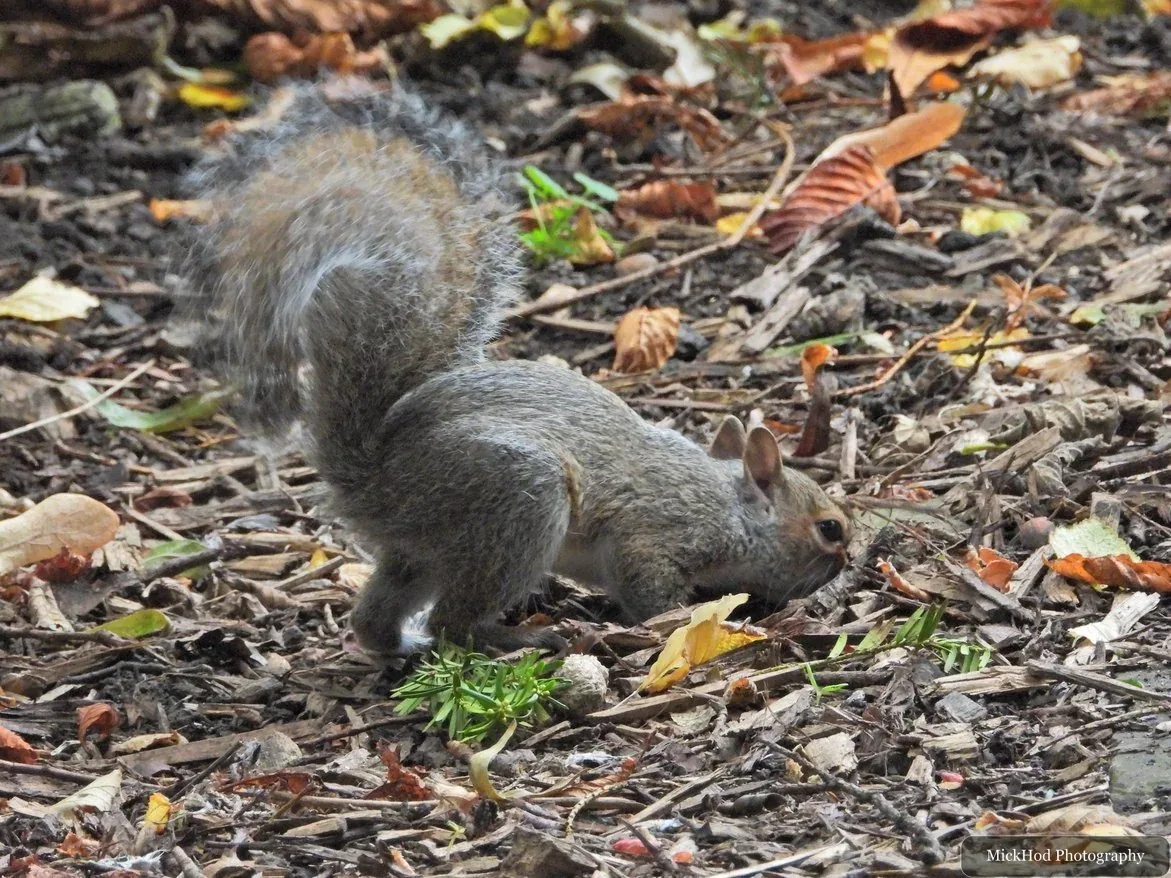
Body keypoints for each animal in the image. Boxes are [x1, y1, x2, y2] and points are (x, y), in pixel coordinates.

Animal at [184, 80, 852, 655]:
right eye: (829, 528)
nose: (849, 562)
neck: (730, 501)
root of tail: (371, 479)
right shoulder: (659, 533)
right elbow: (649, 587)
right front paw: (680, 619)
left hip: (425, 546)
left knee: (377, 614)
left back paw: (398, 645)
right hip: (515, 501)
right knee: (455, 621)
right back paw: (522, 638)